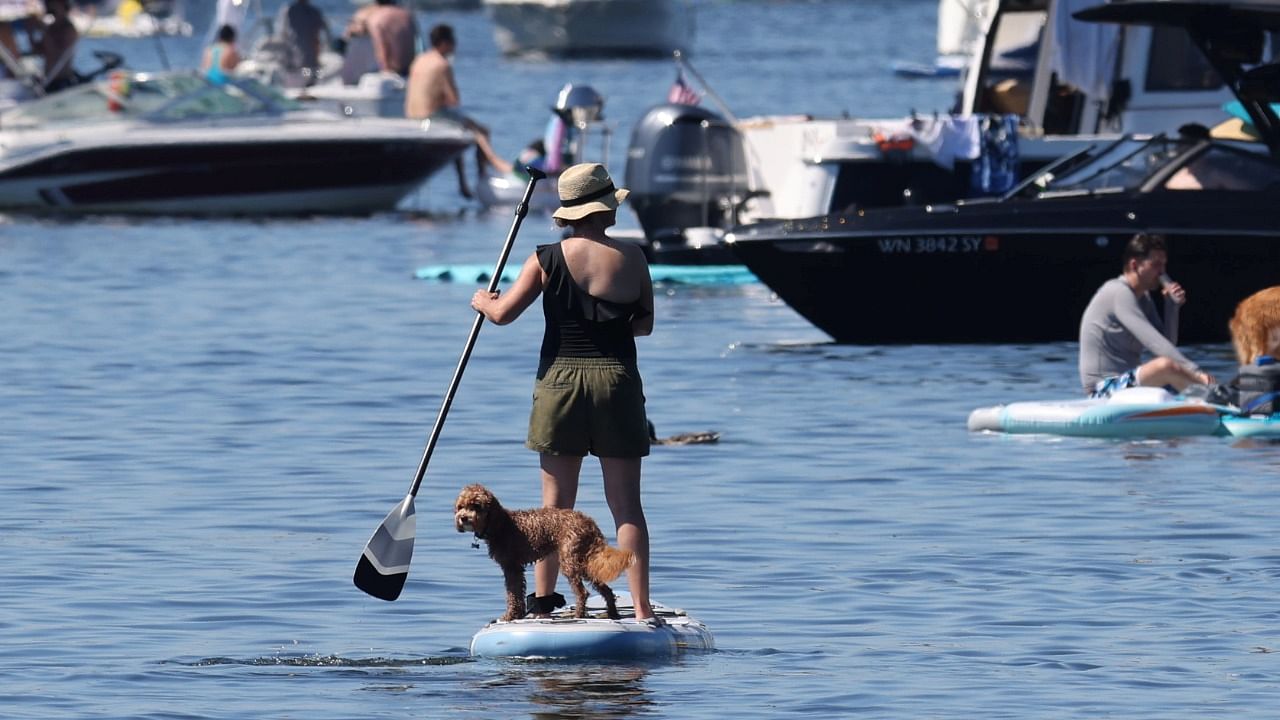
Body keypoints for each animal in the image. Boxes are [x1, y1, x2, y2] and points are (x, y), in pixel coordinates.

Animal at [455, 479, 634, 620]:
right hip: (583, 561)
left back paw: (579, 614)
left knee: (582, 592)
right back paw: (612, 613)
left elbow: (513, 594)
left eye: (476, 506)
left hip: (570, 561)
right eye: (461, 506)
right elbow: (516, 593)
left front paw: (510, 616)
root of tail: (589, 523)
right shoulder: (514, 568)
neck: (499, 524)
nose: (463, 518)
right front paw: (517, 614)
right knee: (605, 589)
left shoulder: (511, 567)